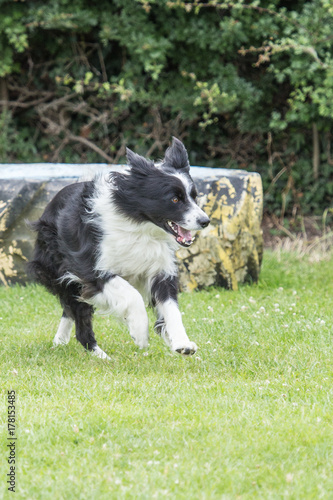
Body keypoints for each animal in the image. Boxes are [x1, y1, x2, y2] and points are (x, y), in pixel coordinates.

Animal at [29, 138, 210, 360]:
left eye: (194, 196)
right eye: (175, 199)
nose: (205, 221)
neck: (140, 226)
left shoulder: (160, 267)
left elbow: (171, 306)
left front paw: (182, 344)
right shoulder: (91, 269)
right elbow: (132, 295)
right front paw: (140, 333)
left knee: (70, 310)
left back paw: (62, 340)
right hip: (57, 266)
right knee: (78, 313)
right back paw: (101, 356)